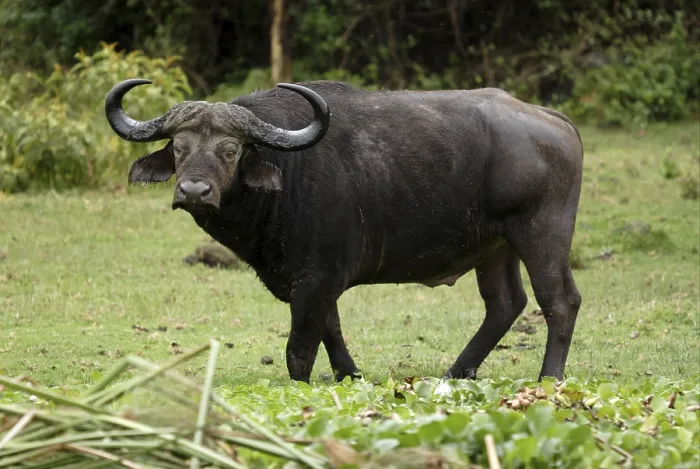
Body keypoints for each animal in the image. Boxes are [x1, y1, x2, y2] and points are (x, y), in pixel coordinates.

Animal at [105, 79, 584, 383]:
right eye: (178, 148)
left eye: (230, 149)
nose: (194, 191)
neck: (287, 173)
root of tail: (553, 120)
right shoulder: (318, 282)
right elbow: (331, 329)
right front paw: (349, 374)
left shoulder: (315, 280)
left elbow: (300, 347)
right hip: (496, 246)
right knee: (505, 304)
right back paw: (456, 372)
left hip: (542, 233)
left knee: (559, 301)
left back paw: (549, 377)